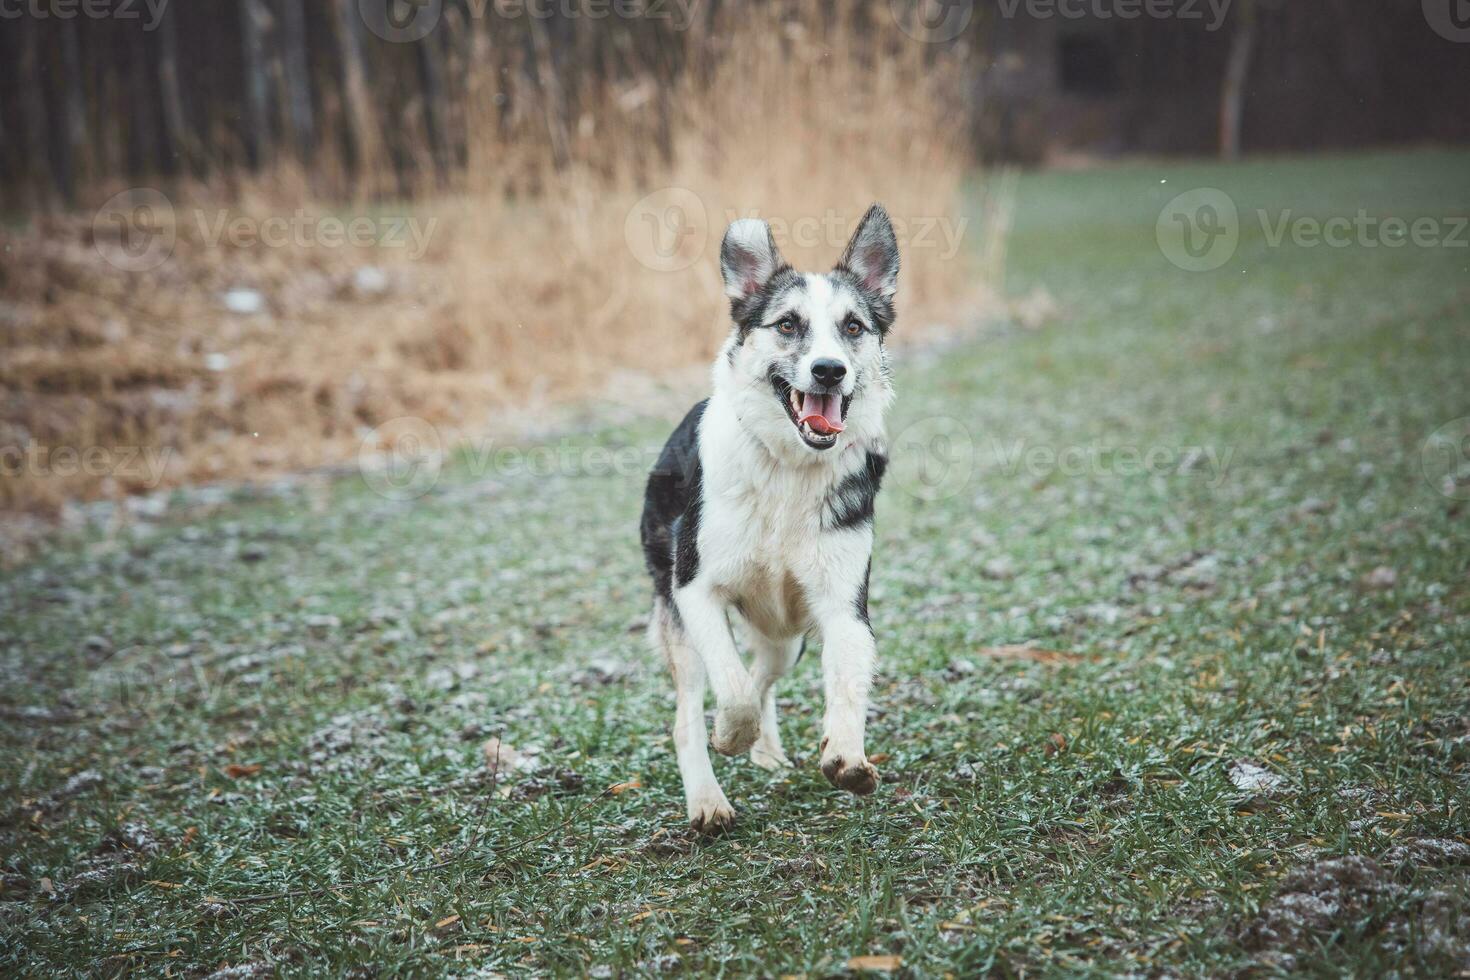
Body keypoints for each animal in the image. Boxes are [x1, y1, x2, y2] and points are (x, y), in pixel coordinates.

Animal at [640, 202, 899, 834]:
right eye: (787, 325)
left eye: (853, 327)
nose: (829, 370)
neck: (788, 469)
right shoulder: (696, 590)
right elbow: (731, 690)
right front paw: (730, 736)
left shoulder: (844, 608)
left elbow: (845, 685)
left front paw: (846, 755)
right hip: (679, 619)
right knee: (693, 710)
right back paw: (709, 798)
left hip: (786, 637)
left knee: (764, 675)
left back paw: (766, 750)